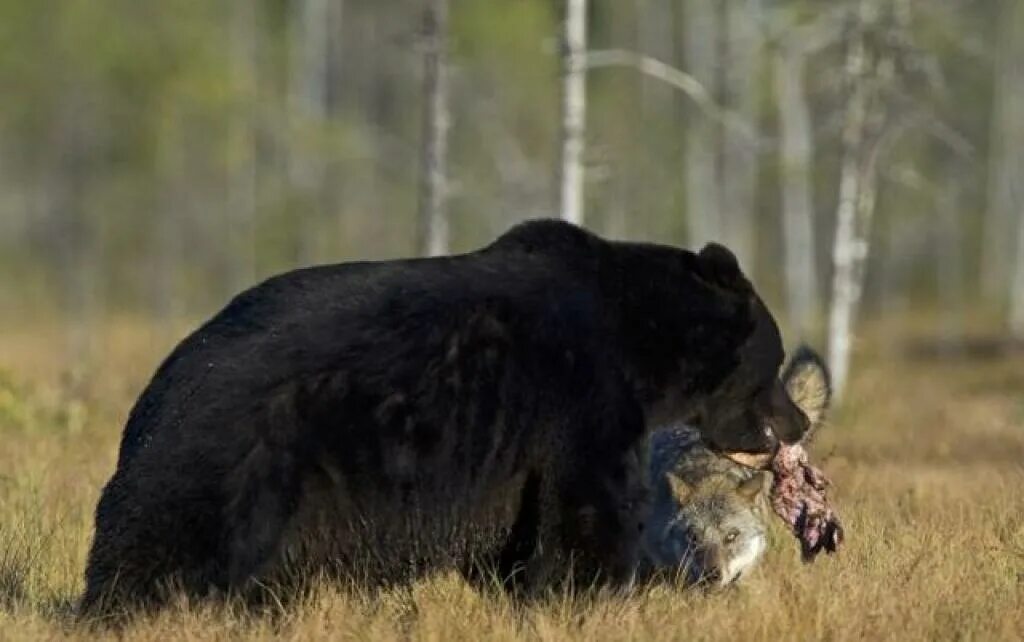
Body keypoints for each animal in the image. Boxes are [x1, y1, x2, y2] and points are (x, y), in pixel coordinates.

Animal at [79, 221, 806, 618]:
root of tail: (150, 404)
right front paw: (596, 595)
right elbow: (584, 518)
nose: (798, 420)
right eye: (770, 361)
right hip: (241, 473)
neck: (642, 339)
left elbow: (519, 541)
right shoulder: (581, 400)